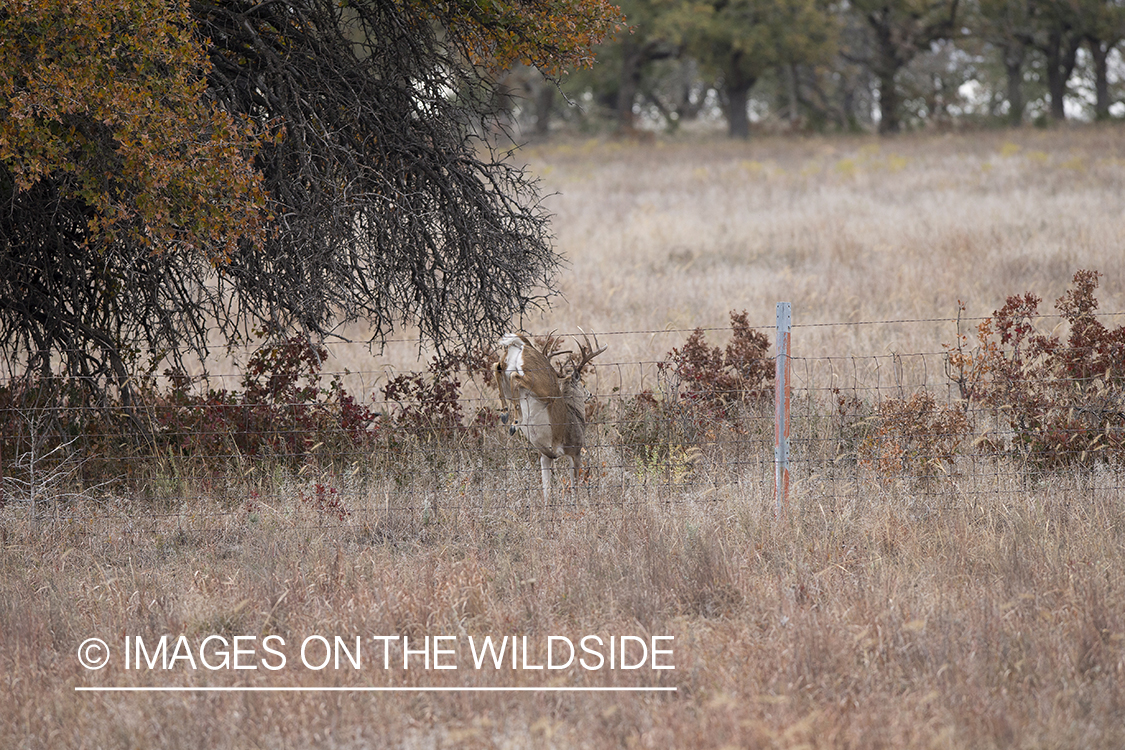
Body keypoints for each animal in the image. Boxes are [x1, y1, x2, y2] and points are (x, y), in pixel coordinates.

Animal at [497, 330, 607, 501]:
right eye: (583, 384)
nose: (590, 395)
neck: (576, 415)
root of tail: (524, 345)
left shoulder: (545, 455)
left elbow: (546, 491)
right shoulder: (575, 450)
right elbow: (575, 488)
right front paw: (576, 504)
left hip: (507, 372)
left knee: (497, 367)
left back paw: (505, 414)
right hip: (541, 386)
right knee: (515, 376)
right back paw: (515, 422)